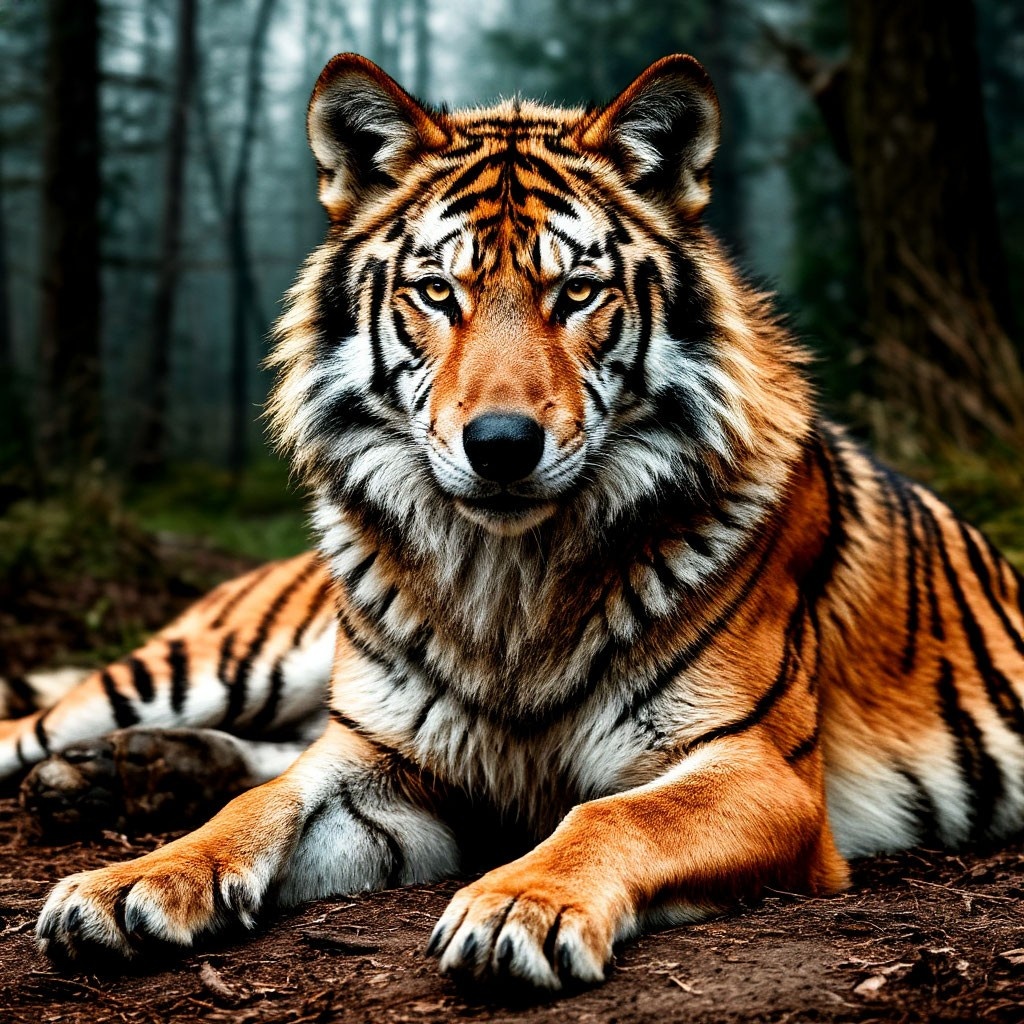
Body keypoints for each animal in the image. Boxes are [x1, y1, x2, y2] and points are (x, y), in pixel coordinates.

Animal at [3, 52, 1022, 993]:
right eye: (437, 293)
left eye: (575, 292)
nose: (500, 444)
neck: (508, 578)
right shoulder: (383, 751)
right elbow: (266, 805)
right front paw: (131, 883)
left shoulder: (757, 766)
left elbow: (613, 813)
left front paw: (517, 906)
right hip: (210, 663)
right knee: (60, 729)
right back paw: (105, 772)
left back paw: (126, 770)